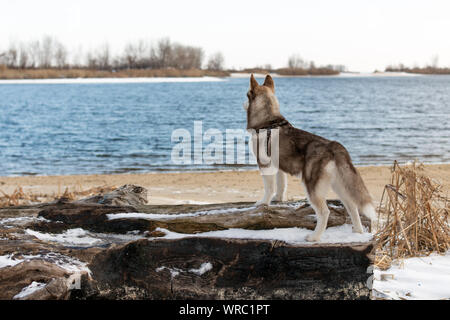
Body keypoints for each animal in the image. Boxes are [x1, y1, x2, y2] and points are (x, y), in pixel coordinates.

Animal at [244, 74, 374, 240]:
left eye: (246, 95)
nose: (243, 104)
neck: (268, 122)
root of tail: (334, 146)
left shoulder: (265, 165)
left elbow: (269, 188)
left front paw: (263, 203)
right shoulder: (279, 166)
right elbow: (280, 185)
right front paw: (278, 199)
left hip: (312, 186)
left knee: (324, 212)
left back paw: (314, 237)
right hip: (339, 185)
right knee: (352, 205)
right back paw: (357, 231)